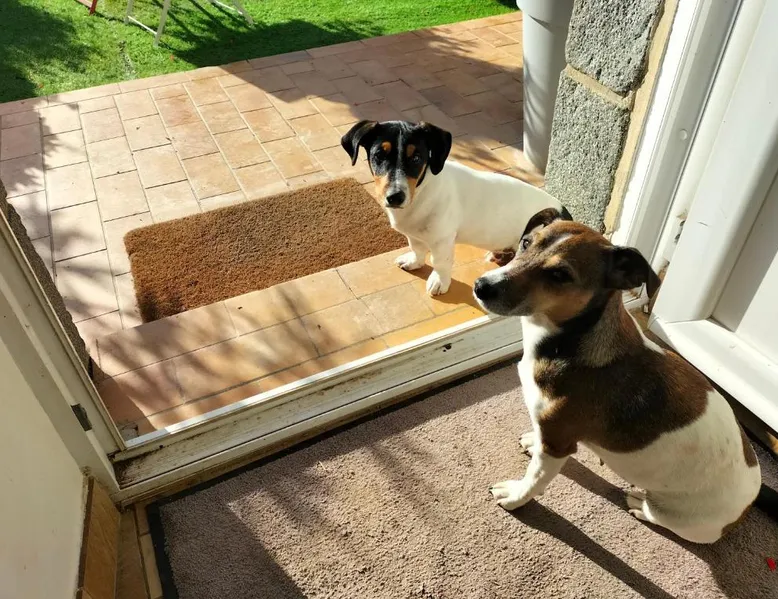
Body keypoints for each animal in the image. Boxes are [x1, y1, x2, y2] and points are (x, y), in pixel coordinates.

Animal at [340, 120, 568, 296]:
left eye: (417, 158)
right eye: (379, 155)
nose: (395, 197)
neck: (422, 192)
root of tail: (563, 212)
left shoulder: (442, 240)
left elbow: (440, 262)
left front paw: (439, 282)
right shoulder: (415, 235)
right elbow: (417, 249)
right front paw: (414, 261)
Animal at [473, 209, 763, 544]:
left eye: (560, 275)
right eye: (526, 242)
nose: (482, 286)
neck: (567, 340)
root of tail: (747, 505)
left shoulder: (557, 445)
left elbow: (535, 479)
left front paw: (516, 496)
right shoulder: (550, 435)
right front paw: (532, 441)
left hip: (681, 518)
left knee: (658, 515)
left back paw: (640, 505)